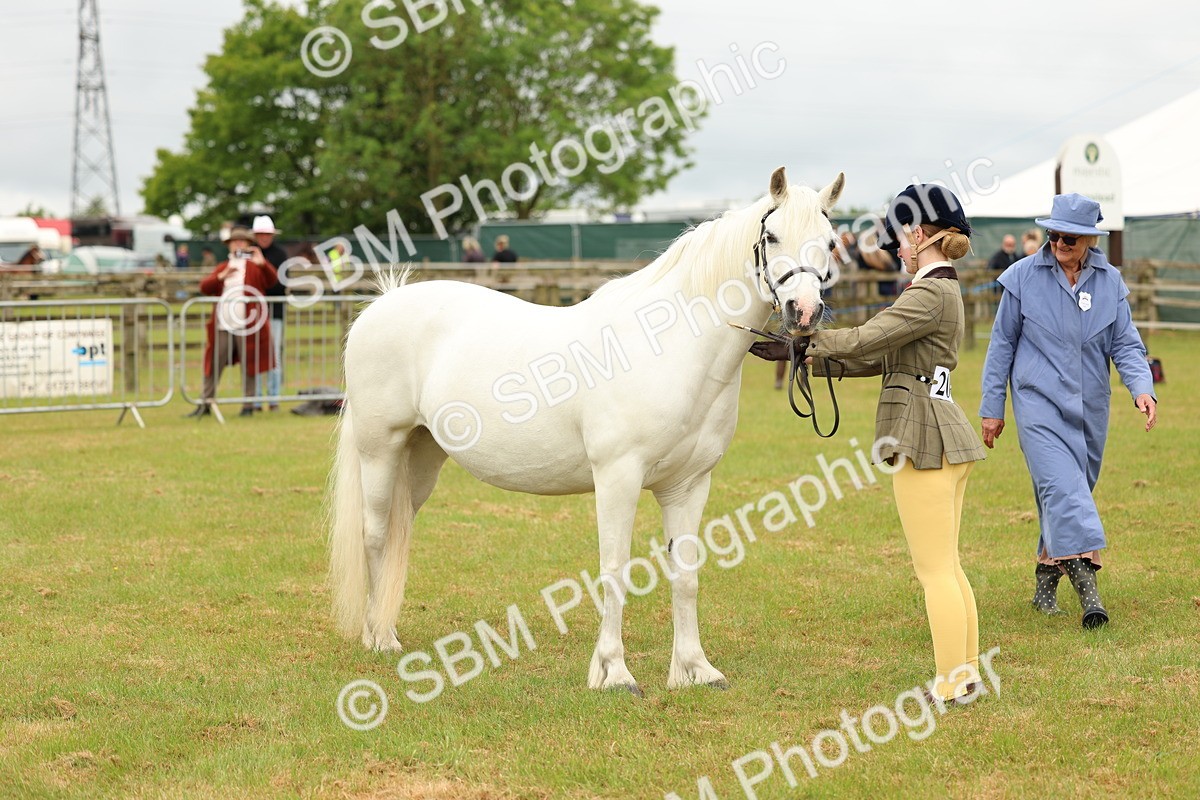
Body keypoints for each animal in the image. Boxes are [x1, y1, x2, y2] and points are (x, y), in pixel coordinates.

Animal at [330, 167, 845, 693]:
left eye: (830, 242)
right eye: (771, 236)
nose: (803, 314)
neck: (669, 348)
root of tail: (382, 304)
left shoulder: (689, 485)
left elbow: (685, 573)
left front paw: (695, 669)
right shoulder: (618, 477)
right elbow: (614, 570)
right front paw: (614, 672)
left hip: (422, 456)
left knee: (399, 530)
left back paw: (385, 630)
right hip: (380, 450)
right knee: (376, 534)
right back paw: (379, 638)